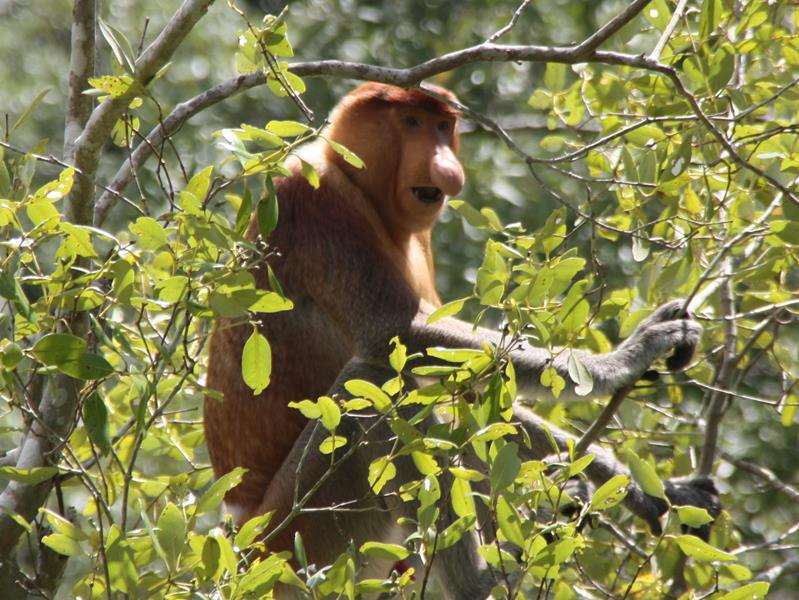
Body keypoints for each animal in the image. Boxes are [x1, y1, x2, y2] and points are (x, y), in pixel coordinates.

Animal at [205, 82, 720, 596]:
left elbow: (465, 390)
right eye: (411, 123)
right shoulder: (312, 200)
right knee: (368, 391)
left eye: (442, 126)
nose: (445, 166)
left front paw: (652, 490)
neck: (355, 184)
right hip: (298, 535)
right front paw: (629, 355)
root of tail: (241, 541)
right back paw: (478, 578)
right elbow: (395, 333)